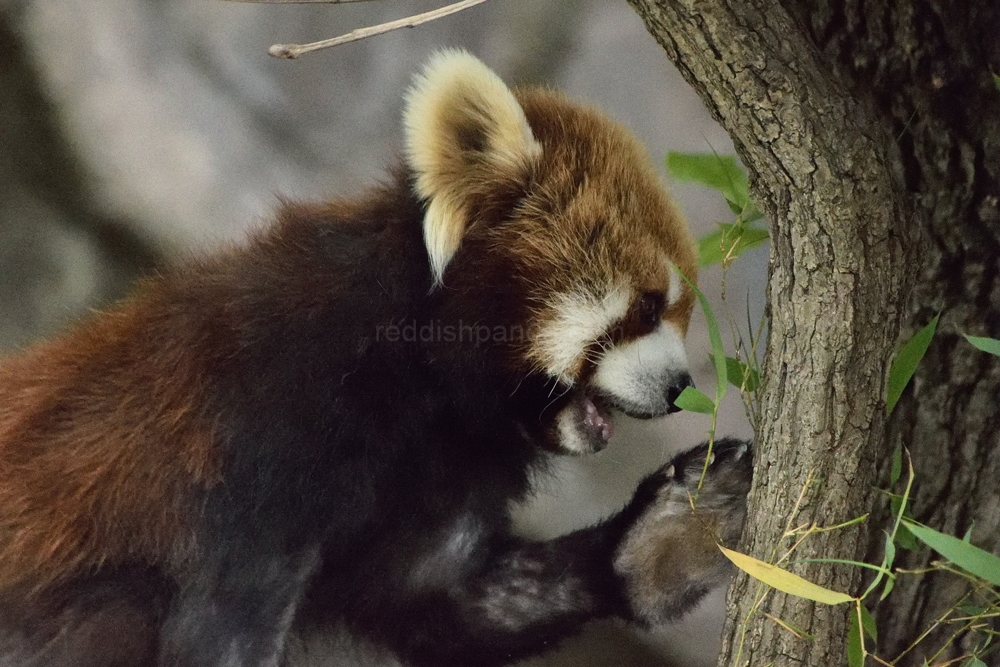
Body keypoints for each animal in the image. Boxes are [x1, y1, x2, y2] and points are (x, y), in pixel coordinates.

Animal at [0, 49, 752, 664]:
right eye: (648, 306)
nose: (679, 386)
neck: (416, 383)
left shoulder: (444, 477)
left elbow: (441, 603)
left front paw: (665, 537)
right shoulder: (259, 431)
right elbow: (223, 627)